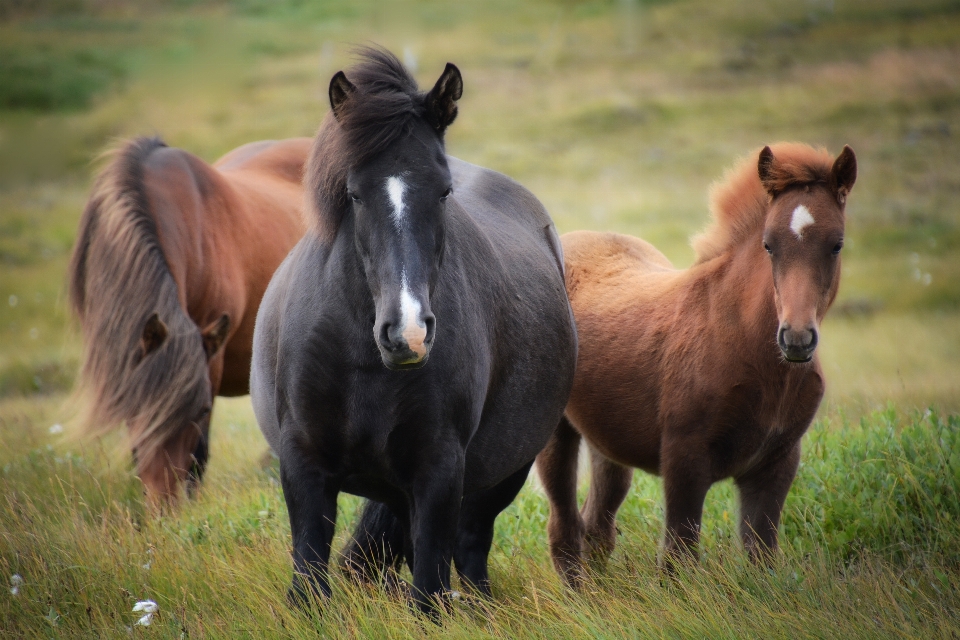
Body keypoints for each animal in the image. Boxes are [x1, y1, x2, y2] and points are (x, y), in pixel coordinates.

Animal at [249, 47, 576, 612]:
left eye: (443, 192)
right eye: (354, 194)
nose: (409, 334)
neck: (362, 361)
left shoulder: (439, 470)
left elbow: (428, 590)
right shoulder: (303, 464)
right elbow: (310, 581)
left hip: (503, 473)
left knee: (469, 548)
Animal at [536, 142, 860, 584]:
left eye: (837, 244)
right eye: (769, 244)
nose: (796, 339)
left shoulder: (776, 463)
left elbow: (761, 555)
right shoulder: (684, 458)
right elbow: (678, 557)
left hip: (607, 440)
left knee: (597, 525)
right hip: (554, 433)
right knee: (564, 527)